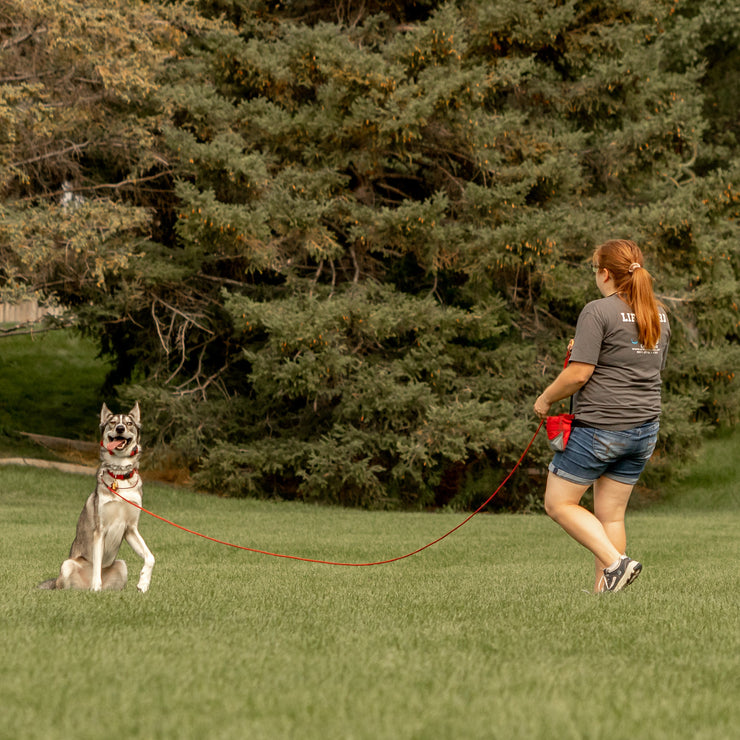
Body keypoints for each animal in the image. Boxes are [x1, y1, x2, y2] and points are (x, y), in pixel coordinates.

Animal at [39, 402, 155, 592]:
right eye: (113, 422)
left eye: (129, 423)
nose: (120, 428)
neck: (119, 475)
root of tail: (82, 587)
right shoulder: (100, 530)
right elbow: (97, 564)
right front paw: (96, 588)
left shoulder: (130, 529)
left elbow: (150, 557)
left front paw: (143, 583)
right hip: (67, 565)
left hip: (122, 565)